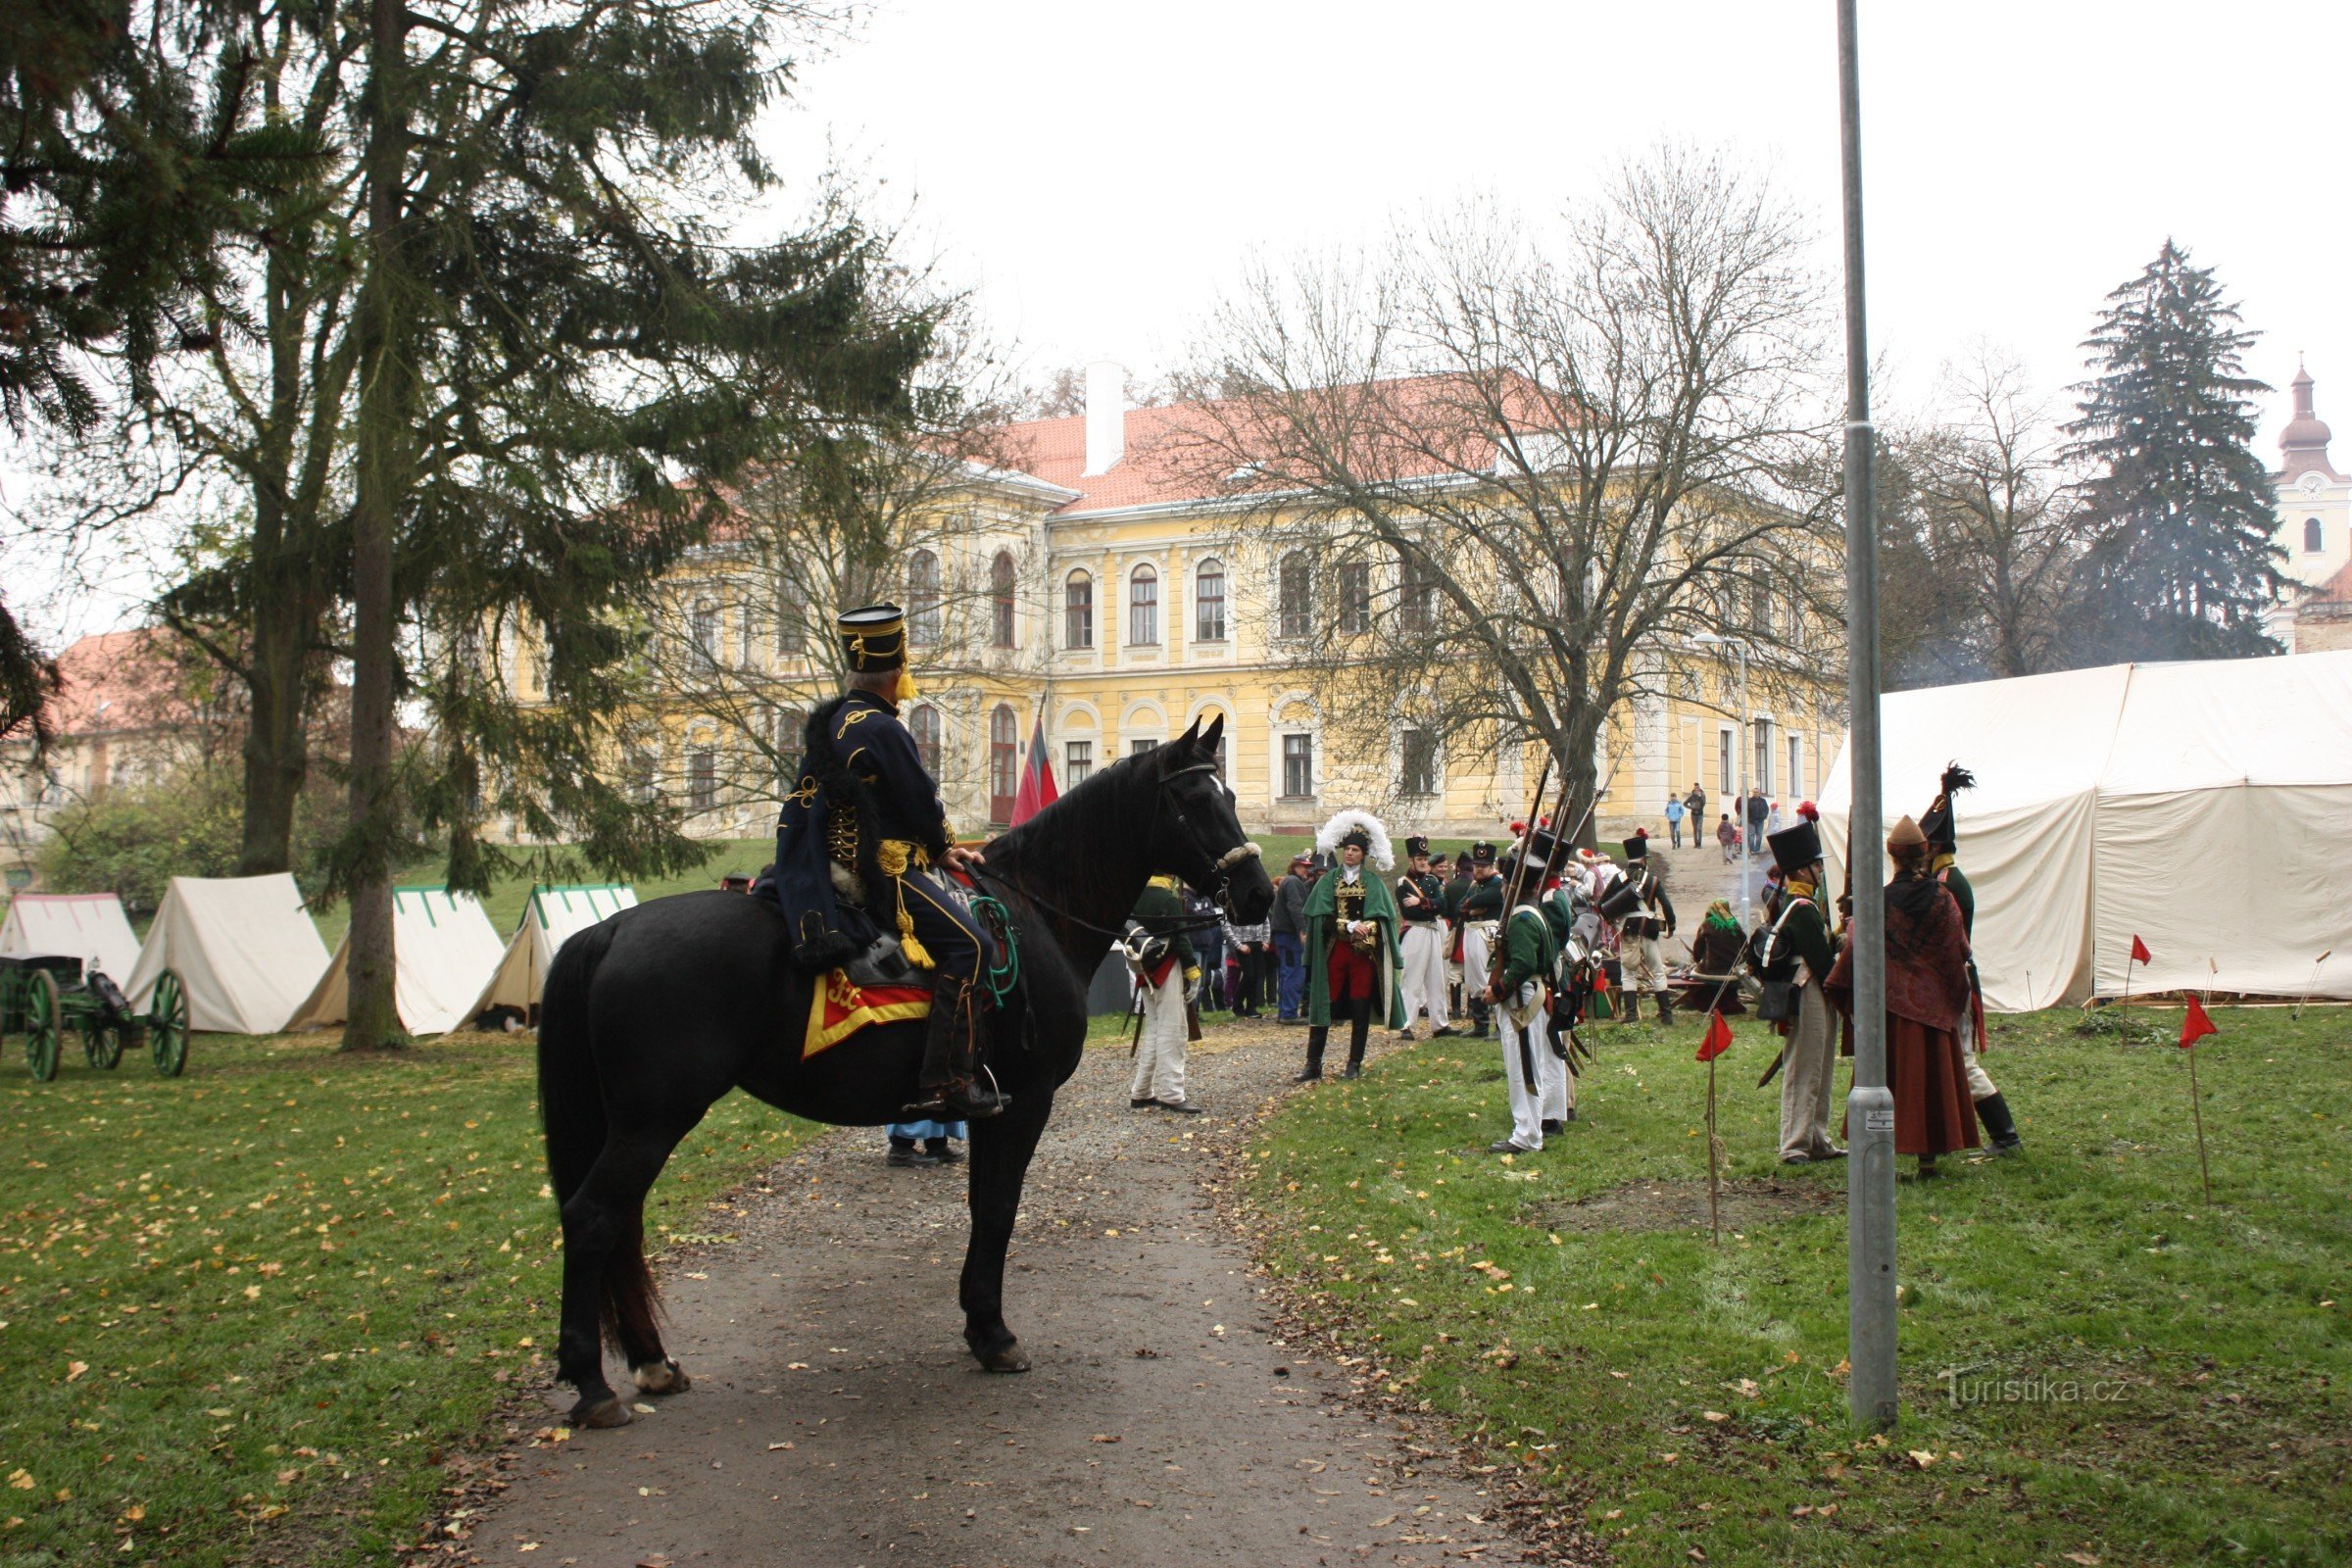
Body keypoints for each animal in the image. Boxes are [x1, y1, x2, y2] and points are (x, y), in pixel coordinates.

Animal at [538, 719, 1270, 1429]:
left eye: (1230, 795)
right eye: (1194, 800)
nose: (1258, 892)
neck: (1039, 909)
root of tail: (607, 930)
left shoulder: (993, 1107)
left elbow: (983, 1206)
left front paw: (979, 1325)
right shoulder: (1023, 1102)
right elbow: (997, 1209)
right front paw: (993, 1335)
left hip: (637, 1124)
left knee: (622, 1226)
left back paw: (651, 1362)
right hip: (652, 1121)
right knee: (593, 1218)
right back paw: (592, 1383)